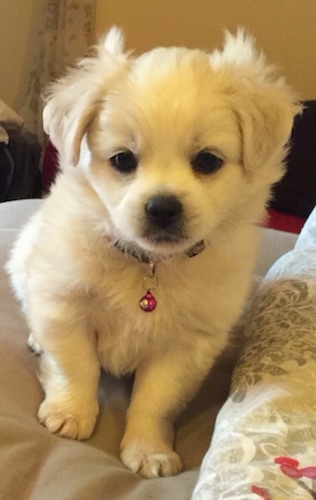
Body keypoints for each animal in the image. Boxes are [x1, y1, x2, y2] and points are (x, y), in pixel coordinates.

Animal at [6, 28, 298, 476]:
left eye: (208, 161)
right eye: (123, 160)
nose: (162, 208)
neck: (150, 265)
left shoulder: (185, 347)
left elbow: (155, 401)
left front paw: (149, 450)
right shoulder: (64, 305)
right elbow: (77, 366)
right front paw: (71, 412)